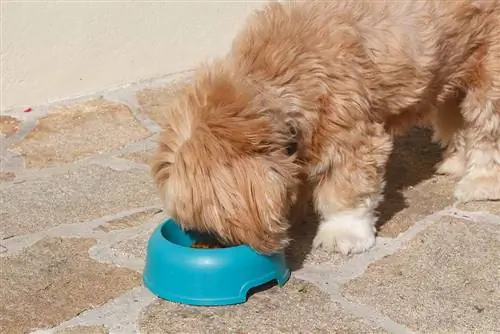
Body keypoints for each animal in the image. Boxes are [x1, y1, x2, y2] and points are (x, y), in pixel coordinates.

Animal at [150, 0, 500, 254]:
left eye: (211, 223)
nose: (205, 240)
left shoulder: (351, 136)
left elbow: (345, 191)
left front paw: (342, 232)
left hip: (489, 71)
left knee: (486, 129)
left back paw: (481, 182)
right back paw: (456, 161)